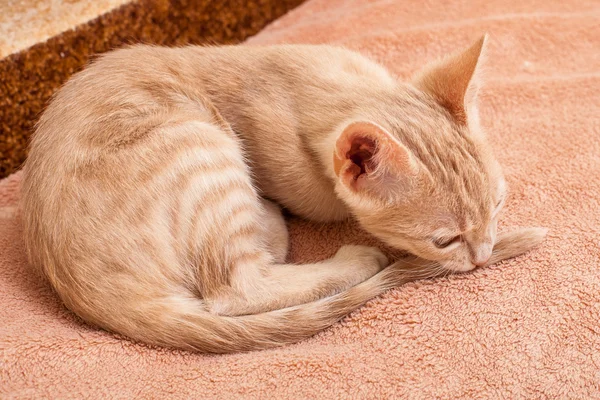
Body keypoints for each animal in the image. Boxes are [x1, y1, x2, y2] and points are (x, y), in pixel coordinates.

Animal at [19, 35, 544, 354]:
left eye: (498, 205)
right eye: (445, 241)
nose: (483, 256)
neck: (324, 85)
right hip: (202, 148)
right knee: (235, 290)